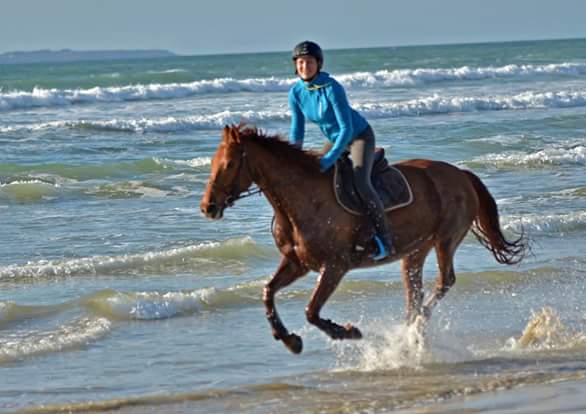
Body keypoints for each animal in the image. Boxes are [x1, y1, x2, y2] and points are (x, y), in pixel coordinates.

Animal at [198, 124, 524, 354]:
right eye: (213, 162)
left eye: (229, 164)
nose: (207, 207)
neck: (301, 199)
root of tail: (461, 174)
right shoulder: (297, 263)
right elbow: (268, 292)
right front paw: (289, 340)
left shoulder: (335, 266)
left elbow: (311, 311)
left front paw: (347, 331)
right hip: (415, 250)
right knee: (414, 293)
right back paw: (409, 334)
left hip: (445, 239)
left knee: (444, 282)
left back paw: (415, 328)